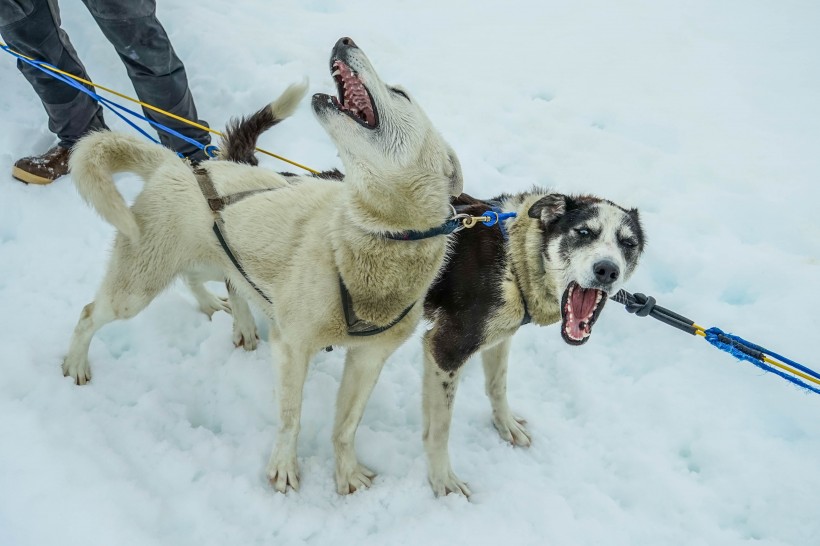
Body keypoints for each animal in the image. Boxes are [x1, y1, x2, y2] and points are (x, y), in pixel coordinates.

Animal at [62, 38, 462, 492]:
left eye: (399, 93)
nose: (345, 40)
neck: (372, 238)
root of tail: (178, 164)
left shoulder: (369, 358)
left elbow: (346, 425)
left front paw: (346, 472)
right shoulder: (291, 346)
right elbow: (291, 417)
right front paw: (284, 467)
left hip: (214, 259)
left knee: (205, 280)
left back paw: (222, 311)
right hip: (136, 288)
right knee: (89, 313)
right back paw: (76, 363)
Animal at [422, 189, 648, 496]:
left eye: (628, 243)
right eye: (584, 232)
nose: (607, 270)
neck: (514, 262)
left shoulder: (500, 336)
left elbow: (497, 385)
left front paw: (505, 424)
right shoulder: (445, 350)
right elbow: (440, 428)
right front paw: (442, 479)